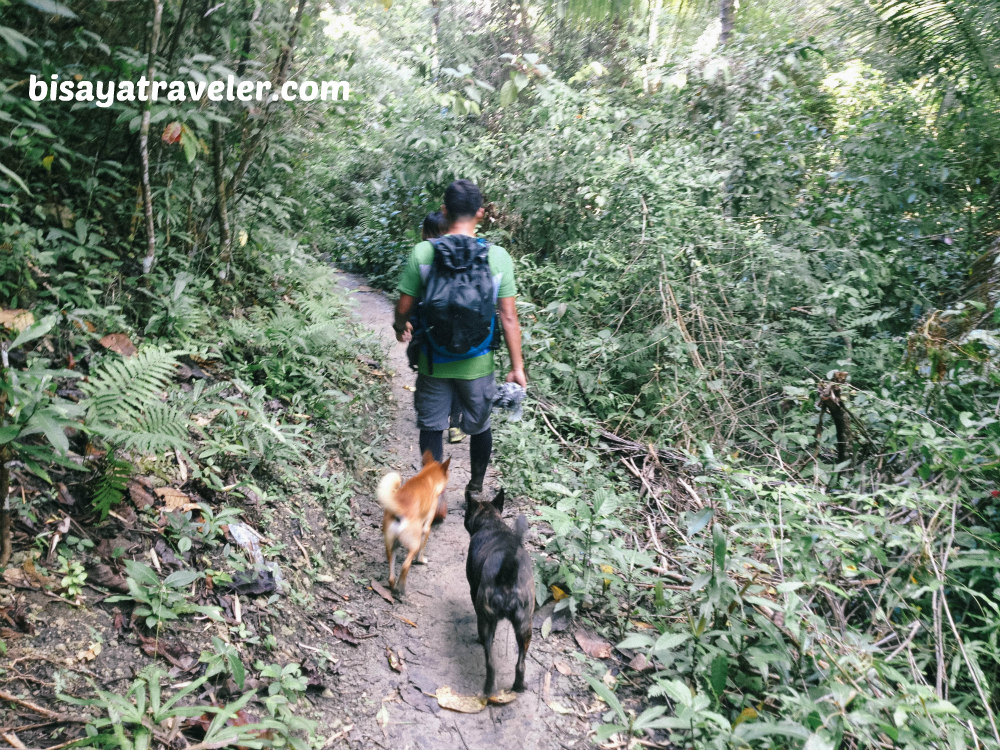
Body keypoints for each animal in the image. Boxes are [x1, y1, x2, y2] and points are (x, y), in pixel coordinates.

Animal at [376, 452, 452, 600]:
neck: (427, 477)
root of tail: (399, 510)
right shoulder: (426, 527)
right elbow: (422, 549)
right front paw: (421, 560)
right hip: (413, 543)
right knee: (405, 566)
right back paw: (401, 589)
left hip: (391, 546)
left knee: (391, 576)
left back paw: (394, 587)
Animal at [464, 490, 536, 696]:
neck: (491, 522)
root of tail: (507, 571)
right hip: (525, 626)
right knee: (520, 664)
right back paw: (519, 686)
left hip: (487, 620)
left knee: (491, 662)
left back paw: (489, 690)